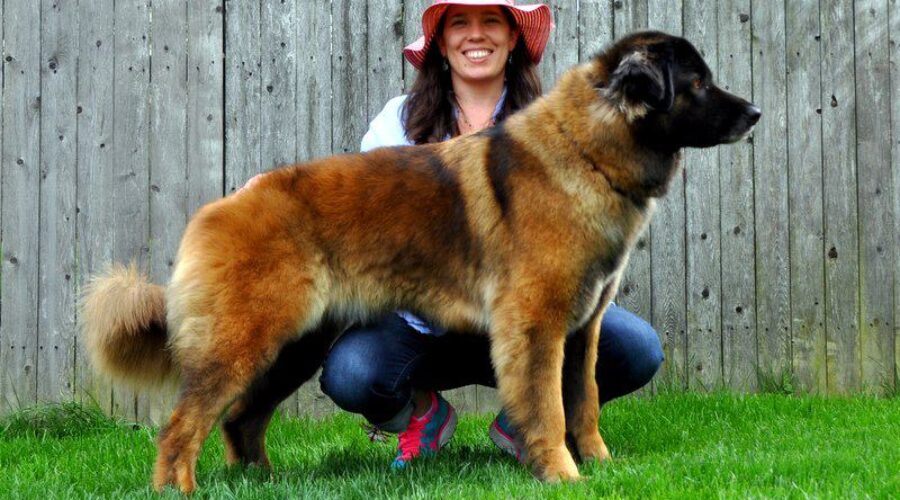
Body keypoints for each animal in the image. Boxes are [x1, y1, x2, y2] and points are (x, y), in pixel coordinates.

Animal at [82, 31, 760, 492]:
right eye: (697, 82)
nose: (754, 113)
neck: (588, 146)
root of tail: (222, 206)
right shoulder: (536, 327)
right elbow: (547, 408)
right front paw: (563, 474)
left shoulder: (583, 329)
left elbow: (584, 401)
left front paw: (598, 464)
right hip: (245, 343)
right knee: (182, 427)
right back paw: (182, 489)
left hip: (291, 348)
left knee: (241, 420)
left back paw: (264, 482)